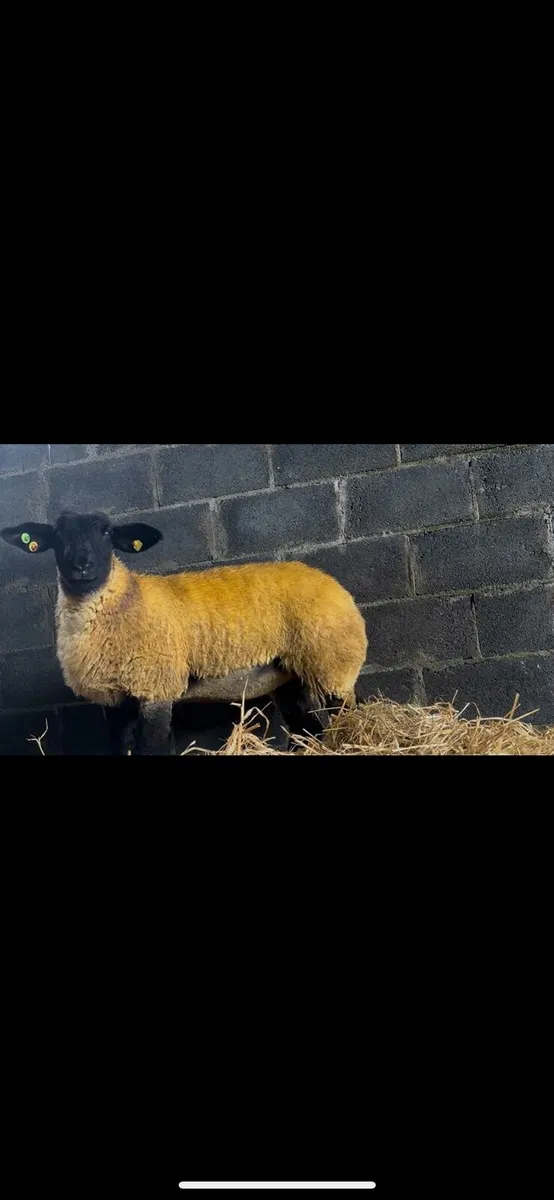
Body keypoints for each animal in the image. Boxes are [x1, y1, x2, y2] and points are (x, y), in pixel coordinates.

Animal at [1, 511, 368, 754]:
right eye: (57, 536)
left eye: (106, 534)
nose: (82, 566)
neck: (126, 598)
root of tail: (334, 584)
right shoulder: (115, 699)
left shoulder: (155, 688)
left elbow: (153, 749)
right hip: (289, 678)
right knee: (309, 731)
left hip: (332, 665)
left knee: (345, 717)